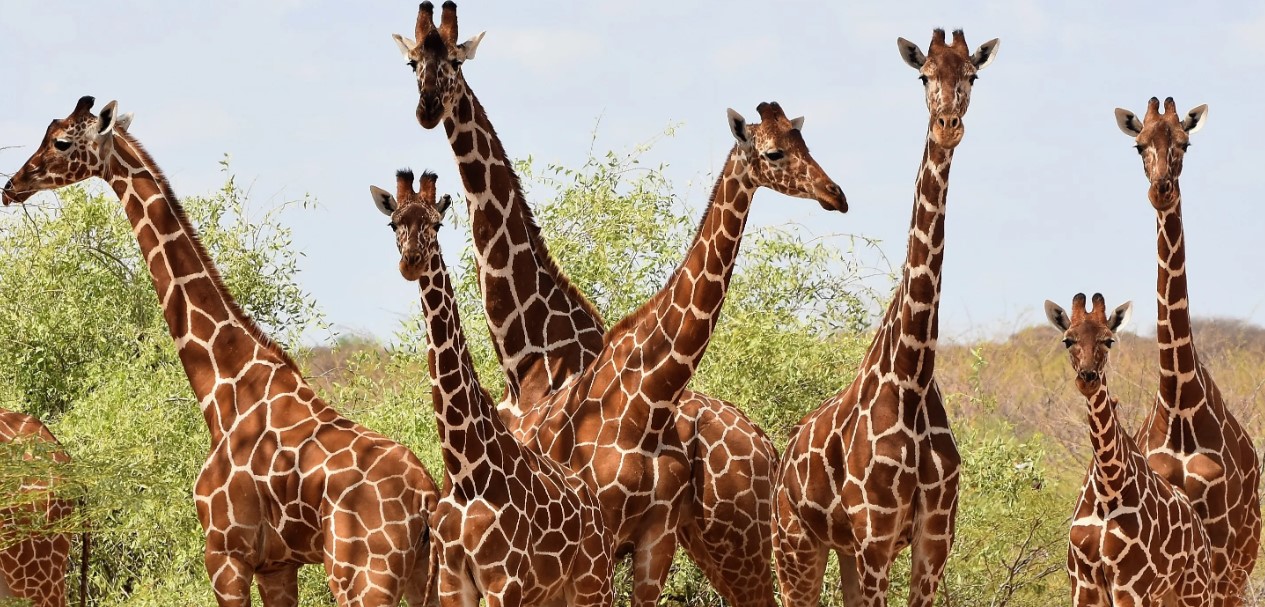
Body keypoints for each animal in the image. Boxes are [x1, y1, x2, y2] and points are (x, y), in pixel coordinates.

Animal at [369, 169, 614, 607]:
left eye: (436, 224)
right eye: (394, 224)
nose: (412, 262)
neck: (465, 467)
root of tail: (596, 509)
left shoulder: (505, 581)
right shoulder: (453, 582)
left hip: (593, 582)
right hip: (553, 594)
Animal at [773, 29, 999, 607]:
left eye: (972, 75)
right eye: (923, 76)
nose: (948, 126)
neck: (912, 381)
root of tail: (780, 463)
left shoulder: (934, 540)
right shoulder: (875, 537)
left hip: (845, 554)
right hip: (797, 547)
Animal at [1045, 293, 1213, 607]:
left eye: (1109, 340)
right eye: (1068, 340)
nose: (1088, 378)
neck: (1108, 487)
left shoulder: (1130, 585)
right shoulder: (1083, 584)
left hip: (1195, 588)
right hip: (1163, 594)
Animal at [1113, 96, 1261, 605]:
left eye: (1185, 143)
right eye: (1139, 145)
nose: (1160, 190)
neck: (1178, 404)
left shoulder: (1215, 549)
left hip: (1238, 565)